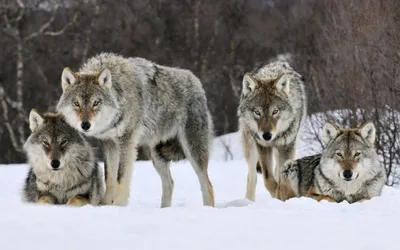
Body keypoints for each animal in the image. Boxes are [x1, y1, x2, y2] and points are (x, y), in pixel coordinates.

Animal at [55, 52, 216, 207]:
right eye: (76, 103)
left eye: (96, 103)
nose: (85, 125)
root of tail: (196, 81)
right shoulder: (109, 143)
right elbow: (109, 177)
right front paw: (105, 205)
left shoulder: (126, 141)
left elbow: (121, 177)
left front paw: (118, 205)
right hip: (157, 156)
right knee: (170, 183)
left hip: (192, 151)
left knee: (207, 184)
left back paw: (207, 209)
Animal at [238, 60, 306, 201]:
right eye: (257, 112)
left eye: (275, 111)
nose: (267, 136)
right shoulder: (263, 146)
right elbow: (268, 179)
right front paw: (277, 195)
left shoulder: (287, 147)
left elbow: (281, 179)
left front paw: (281, 196)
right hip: (251, 147)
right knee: (252, 177)